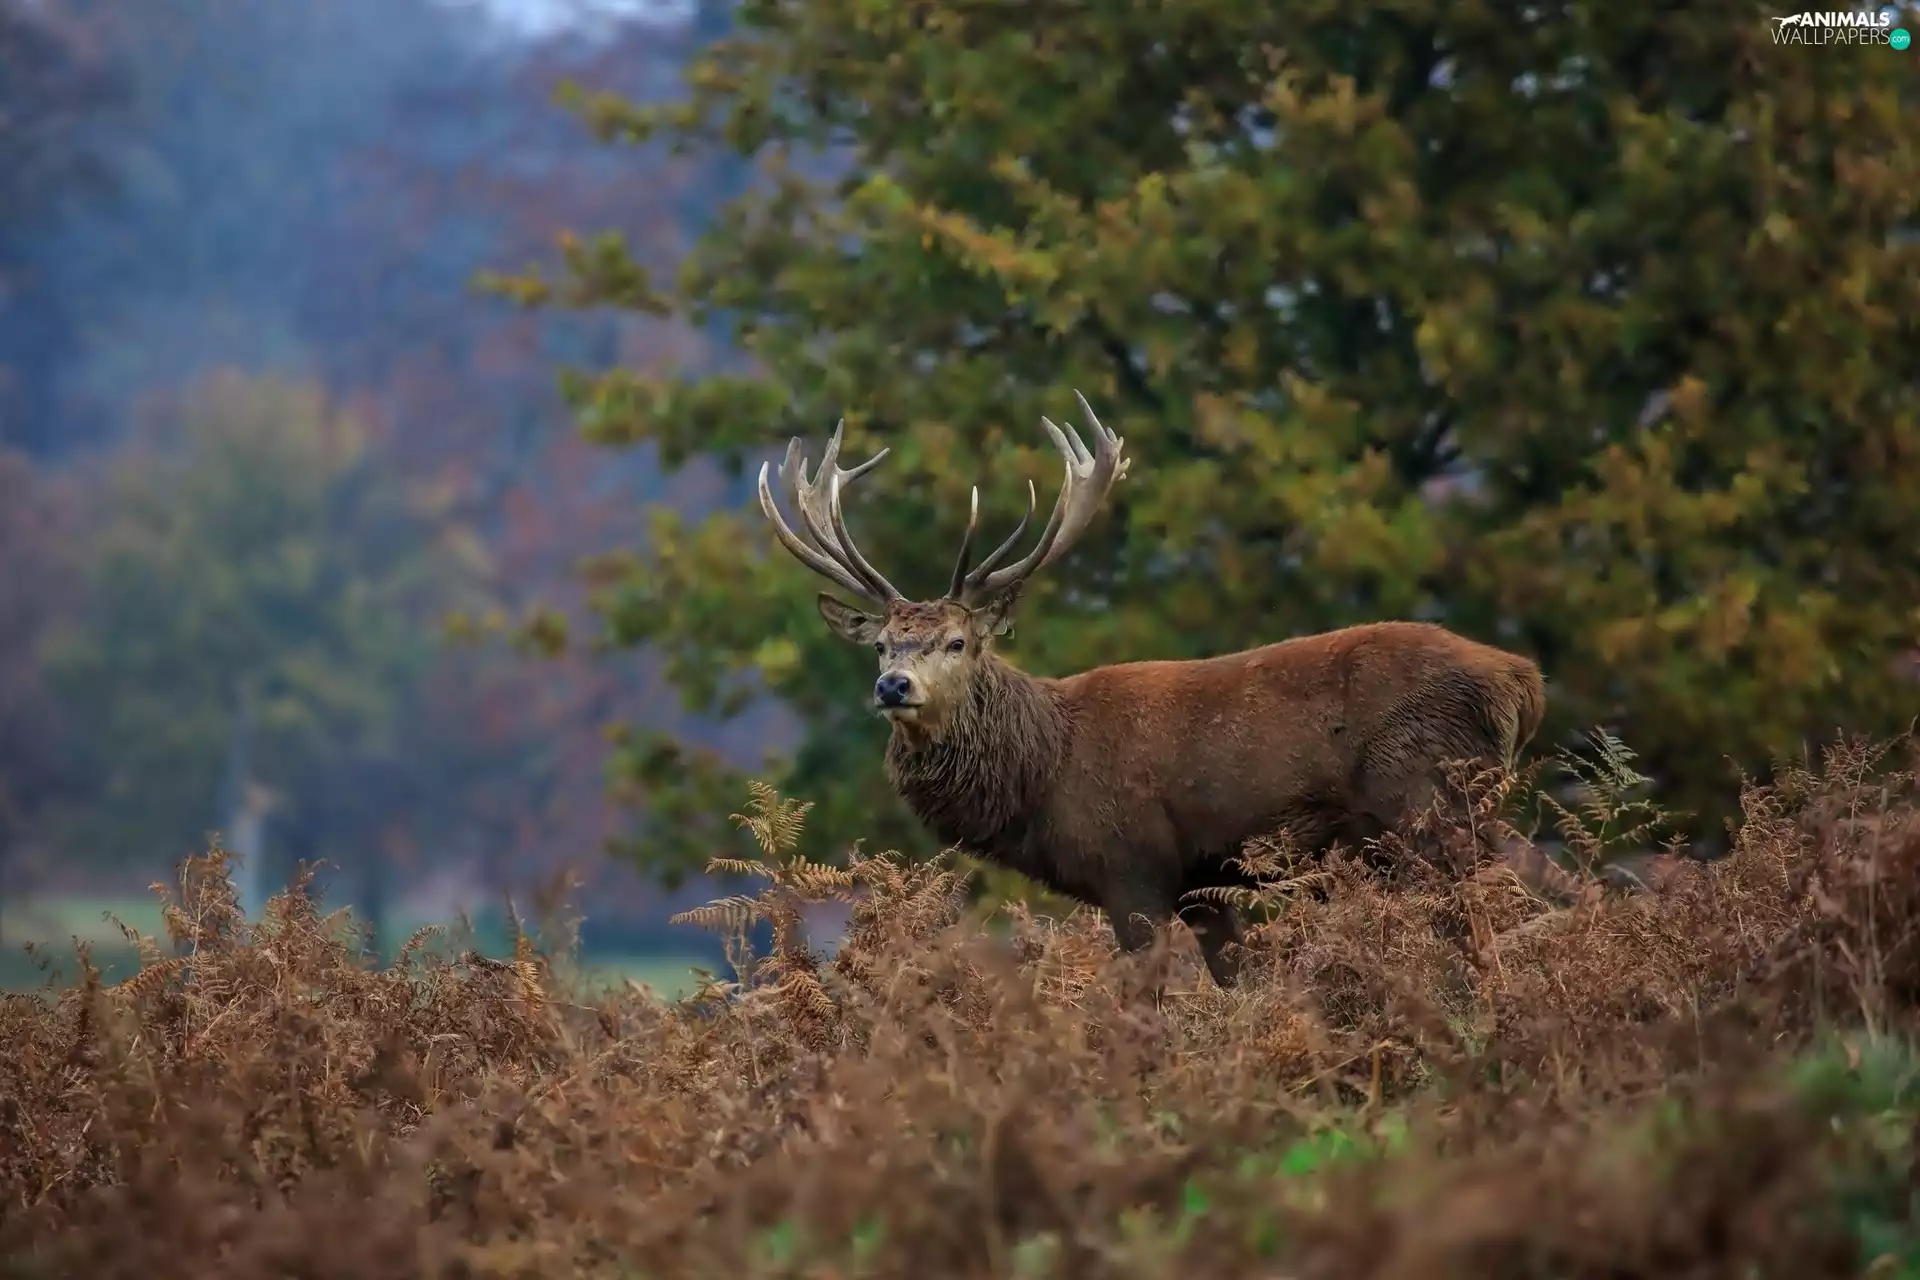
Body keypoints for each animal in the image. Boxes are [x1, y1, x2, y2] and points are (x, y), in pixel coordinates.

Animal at [755, 392, 1547, 988]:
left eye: (957, 642)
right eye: (882, 644)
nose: (893, 685)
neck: (1044, 773)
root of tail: (1521, 680)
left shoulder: (1132, 866)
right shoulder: (1203, 885)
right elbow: (1239, 985)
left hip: (1428, 798)